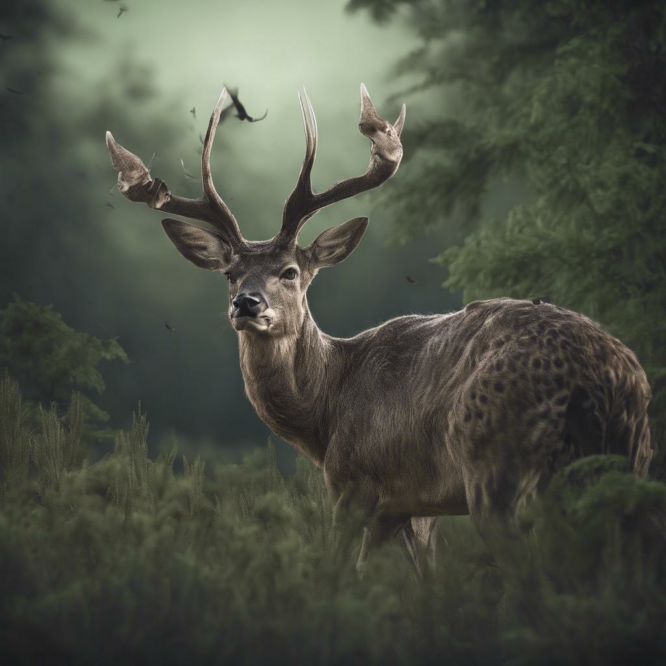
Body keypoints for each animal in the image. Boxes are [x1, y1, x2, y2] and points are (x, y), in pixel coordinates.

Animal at [106, 81, 652, 572]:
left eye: (290, 272)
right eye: (229, 274)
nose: (246, 303)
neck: (325, 414)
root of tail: (604, 375)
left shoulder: (357, 483)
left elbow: (345, 572)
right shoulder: (416, 507)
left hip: (498, 465)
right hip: (631, 461)